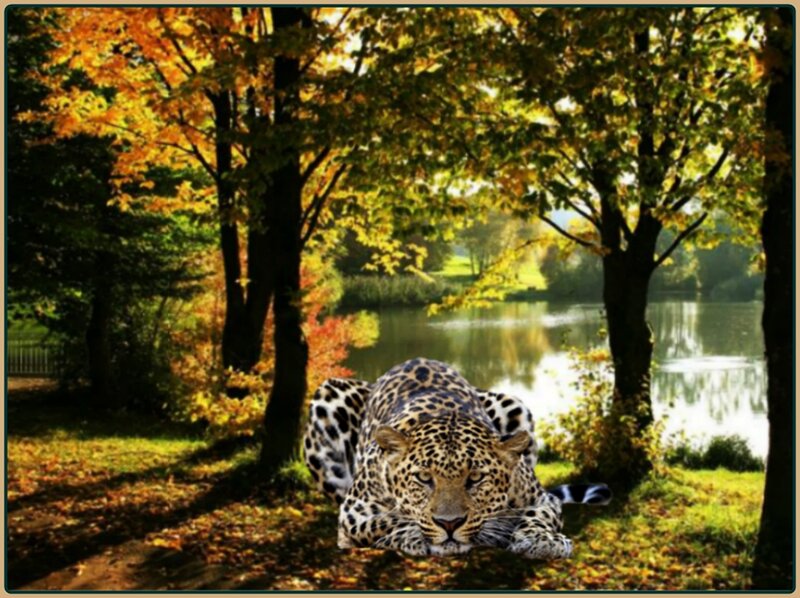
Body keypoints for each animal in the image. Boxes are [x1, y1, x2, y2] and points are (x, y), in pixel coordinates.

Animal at [303, 357, 610, 559]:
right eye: (423, 478)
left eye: (475, 478)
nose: (449, 524)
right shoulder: (355, 510)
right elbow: (386, 520)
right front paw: (409, 535)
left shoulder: (541, 498)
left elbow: (538, 515)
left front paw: (542, 540)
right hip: (329, 399)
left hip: (514, 404)